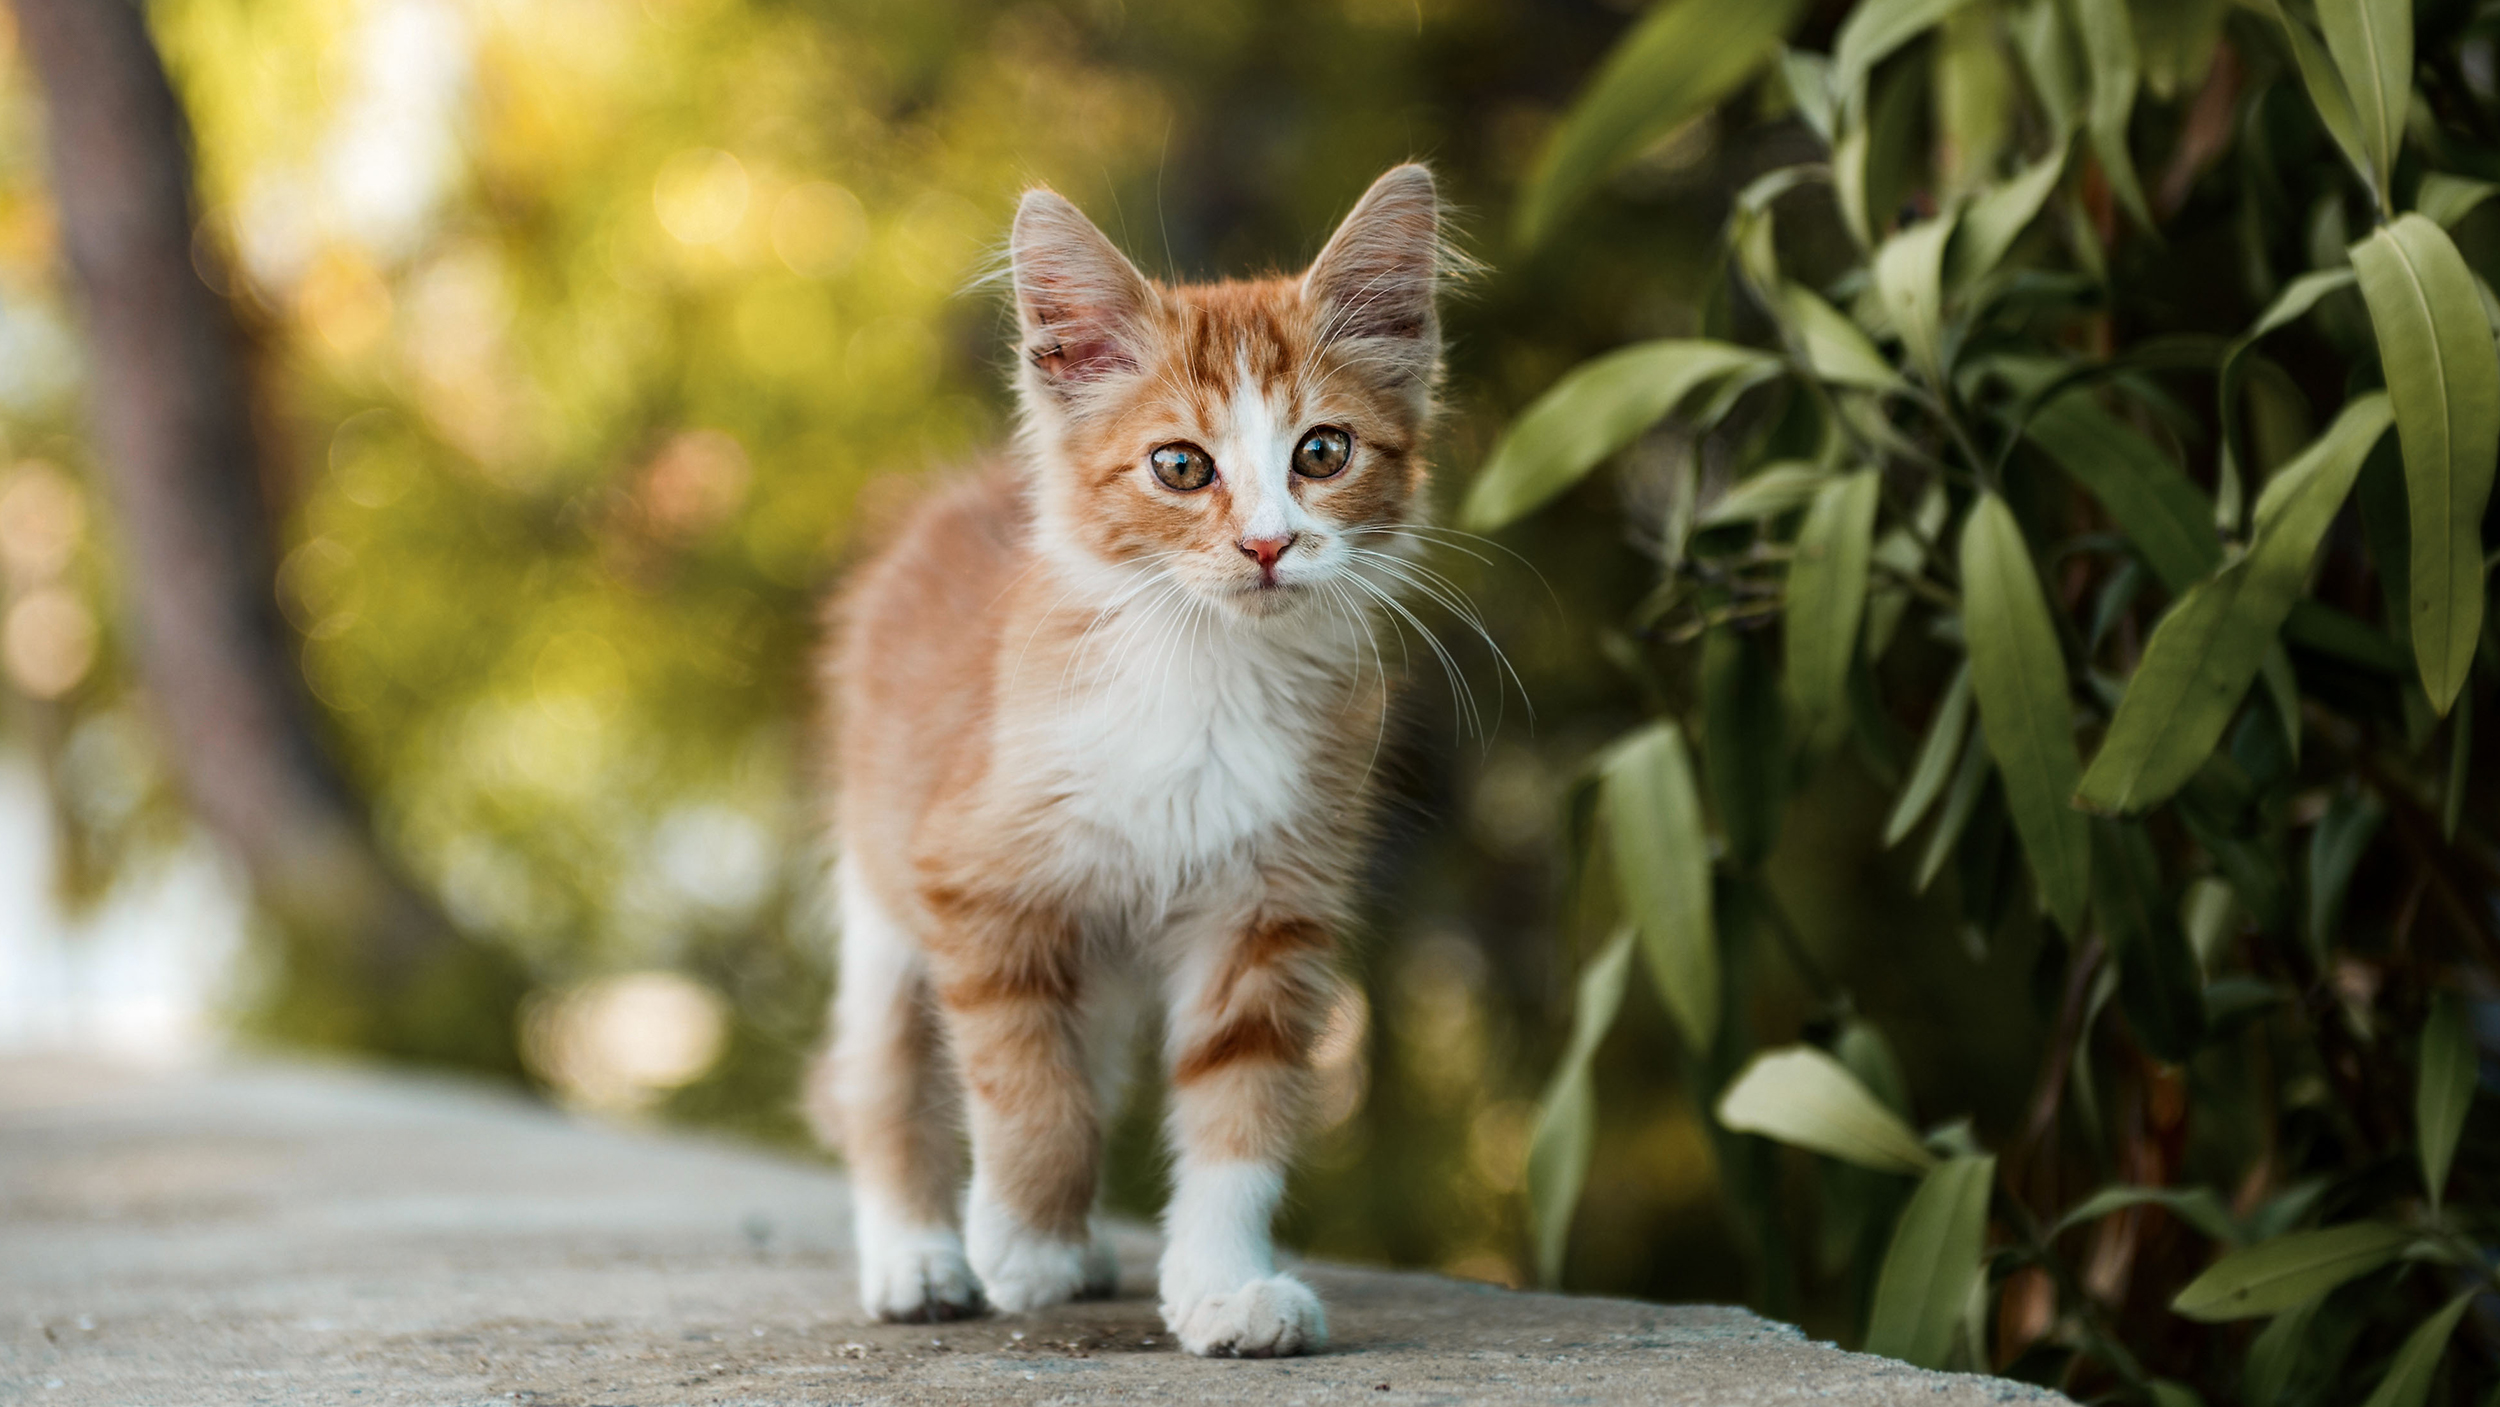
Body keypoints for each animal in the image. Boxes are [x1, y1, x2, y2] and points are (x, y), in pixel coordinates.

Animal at [815, 164, 1450, 1369]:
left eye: (1322, 452)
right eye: (1180, 466)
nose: (1267, 544)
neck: (1205, 676)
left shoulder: (1270, 908)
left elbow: (1235, 1116)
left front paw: (1220, 1286)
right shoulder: (974, 883)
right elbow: (1030, 1091)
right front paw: (1022, 1241)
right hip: (879, 892)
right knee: (881, 1079)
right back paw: (918, 1256)